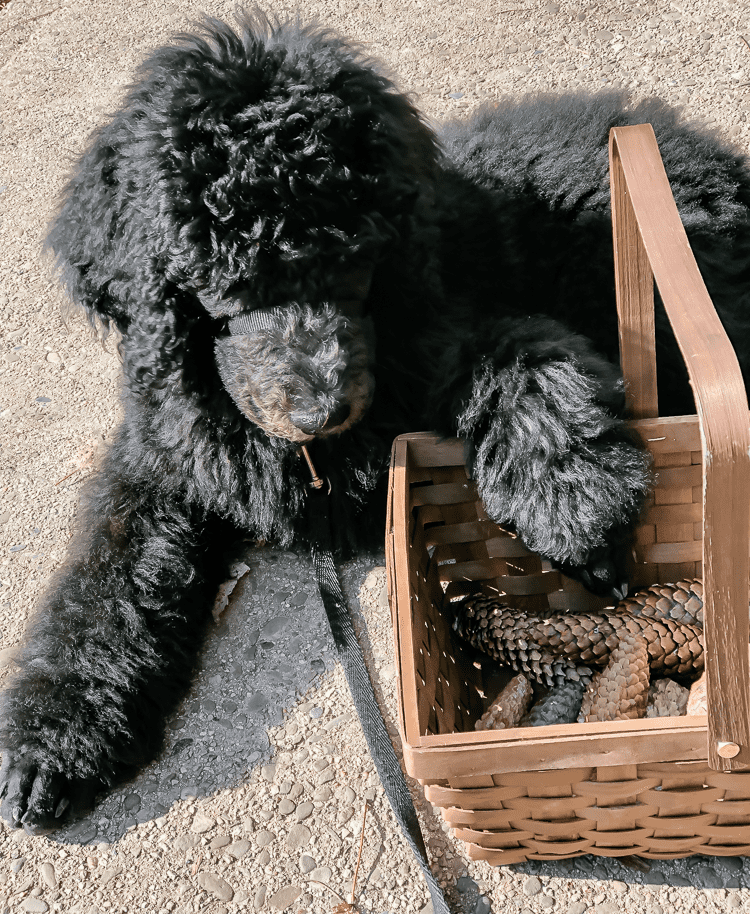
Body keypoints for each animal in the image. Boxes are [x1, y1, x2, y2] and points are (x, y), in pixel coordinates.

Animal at [4, 12, 750, 832]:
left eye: (355, 258)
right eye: (226, 282)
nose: (321, 409)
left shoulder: (444, 332)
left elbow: (527, 359)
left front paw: (578, 510)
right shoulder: (162, 462)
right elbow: (106, 581)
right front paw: (54, 737)